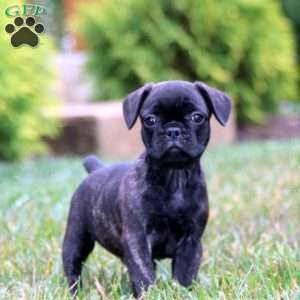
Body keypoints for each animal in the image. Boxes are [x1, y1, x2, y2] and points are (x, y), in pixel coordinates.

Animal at [61, 80, 231, 298]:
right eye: (150, 120)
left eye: (196, 117)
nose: (173, 130)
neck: (174, 175)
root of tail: (96, 169)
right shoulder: (138, 238)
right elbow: (143, 272)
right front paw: (148, 293)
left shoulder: (191, 241)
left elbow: (185, 272)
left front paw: (182, 292)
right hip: (77, 236)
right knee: (73, 266)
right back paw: (75, 291)